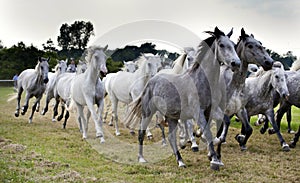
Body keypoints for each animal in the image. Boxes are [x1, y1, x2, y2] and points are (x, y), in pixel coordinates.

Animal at [123, 27, 240, 170]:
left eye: (233, 45)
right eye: (222, 45)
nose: (236, 63)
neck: (202, 82)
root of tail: (151, 80)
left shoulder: (211, 111)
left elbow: (223, 124)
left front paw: (214, 150)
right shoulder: (198, 112)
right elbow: (207, 133)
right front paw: (214, 160)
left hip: (172, 117)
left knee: (171, 137)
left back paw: (180, 161)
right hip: (148, 113)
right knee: (141, 133)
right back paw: (141, 158)